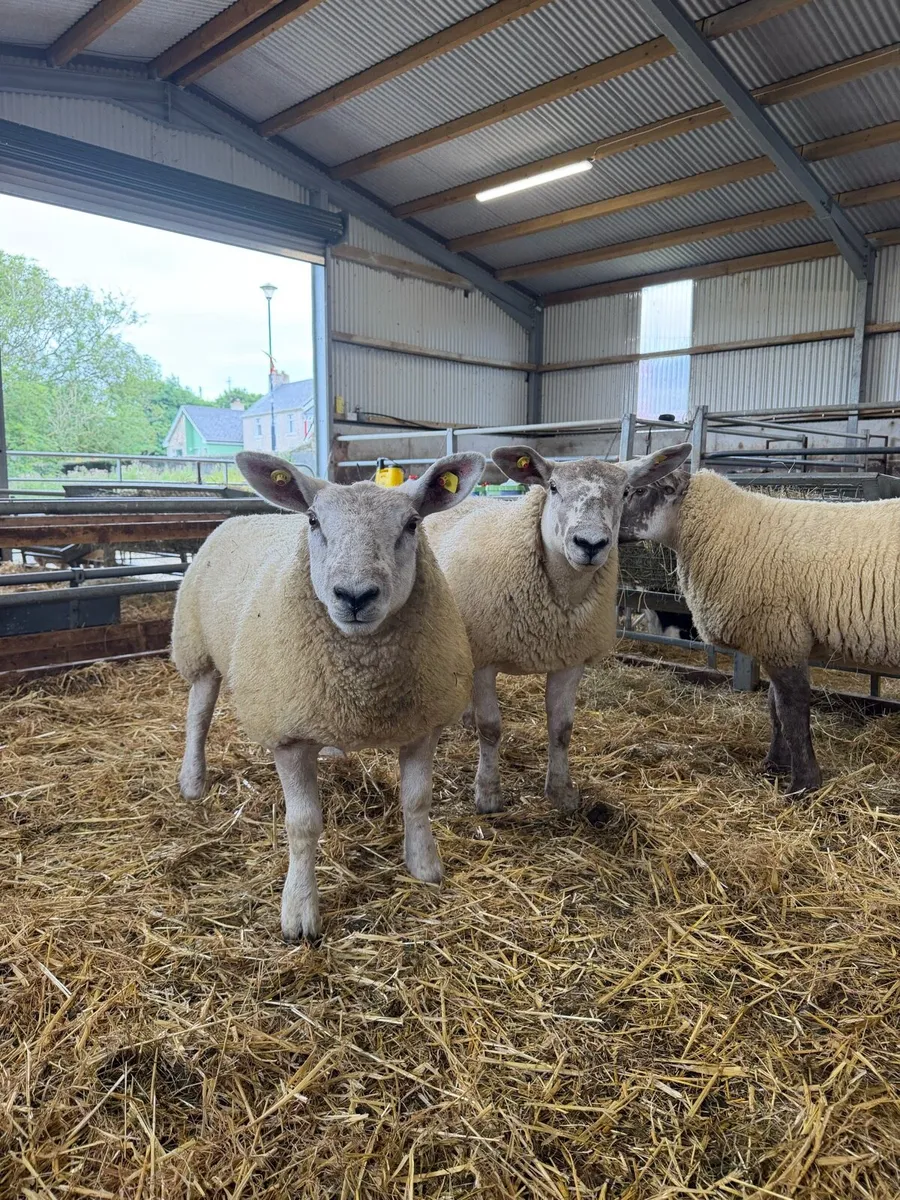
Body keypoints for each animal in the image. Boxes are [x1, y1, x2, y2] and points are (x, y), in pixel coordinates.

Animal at [171, 449, 485, 941]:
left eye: (413, 523)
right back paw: (192, 781)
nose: (355, 596)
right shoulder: (289, 736)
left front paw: (425, 866)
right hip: (198, 651)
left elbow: (417, 800)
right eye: (314, 520)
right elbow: (302, 825)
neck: (364, 680)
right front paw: (299, 912)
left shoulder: (423, 724)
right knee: (197, 717)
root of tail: (245, 514)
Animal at [424, 442, 692, 815]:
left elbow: (562, 729)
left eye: (626, 491)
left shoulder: (570, 659)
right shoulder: (485, 658)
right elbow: (490, 728)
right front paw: (488, 794)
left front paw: (562, 793)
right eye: (552, 487)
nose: (590, 544)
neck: (558, 599)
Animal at [618, 466, 900, 794]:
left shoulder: (779, 633)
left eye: (640, 491)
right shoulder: (777, 641)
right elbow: (775, 708)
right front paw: (774, 765)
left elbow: (791, 711)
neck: (725, 527)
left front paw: (803, 785)